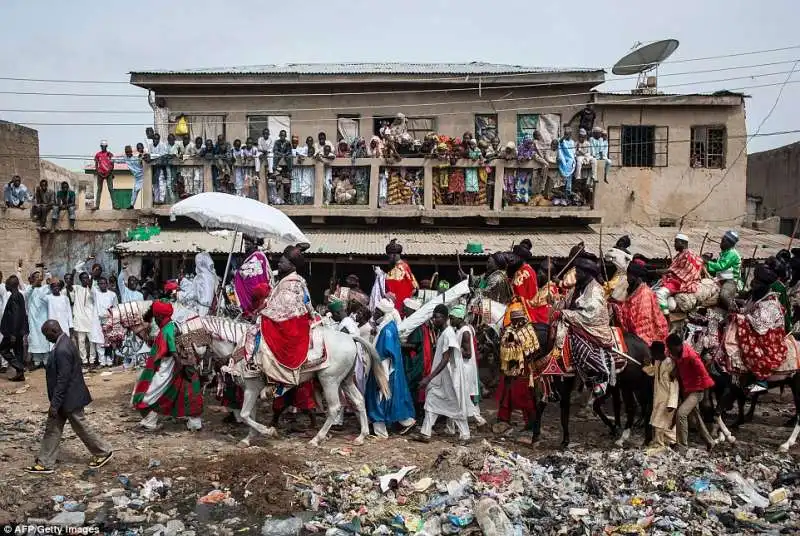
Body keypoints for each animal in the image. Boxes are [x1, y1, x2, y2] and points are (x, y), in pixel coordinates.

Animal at [101, 302, 390, 448]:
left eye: (184, 340)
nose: (188, 363)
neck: (238, 343)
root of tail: (350, 338)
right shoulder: (252, 387)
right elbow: (247, 413)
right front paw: (250, 437)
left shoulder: (251, 385)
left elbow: (247, 413)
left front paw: (266, 432)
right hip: (345, 379)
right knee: (359, 402)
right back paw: (362, 435)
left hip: (329, 381)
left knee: (334, 408)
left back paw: (317, 438)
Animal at [466, 298, 652, 448]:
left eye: (471, 311)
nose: (479, 346)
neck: (550, 344)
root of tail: (644, 346)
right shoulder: (548, 379)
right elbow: (540, 405)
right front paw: (535, 436)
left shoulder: (565, 381)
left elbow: (563, 411)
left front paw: (564, 440)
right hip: (624, 385)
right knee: (630, 405)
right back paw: (632, 435)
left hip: (630, 384)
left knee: (635, 406)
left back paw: (630, 436)